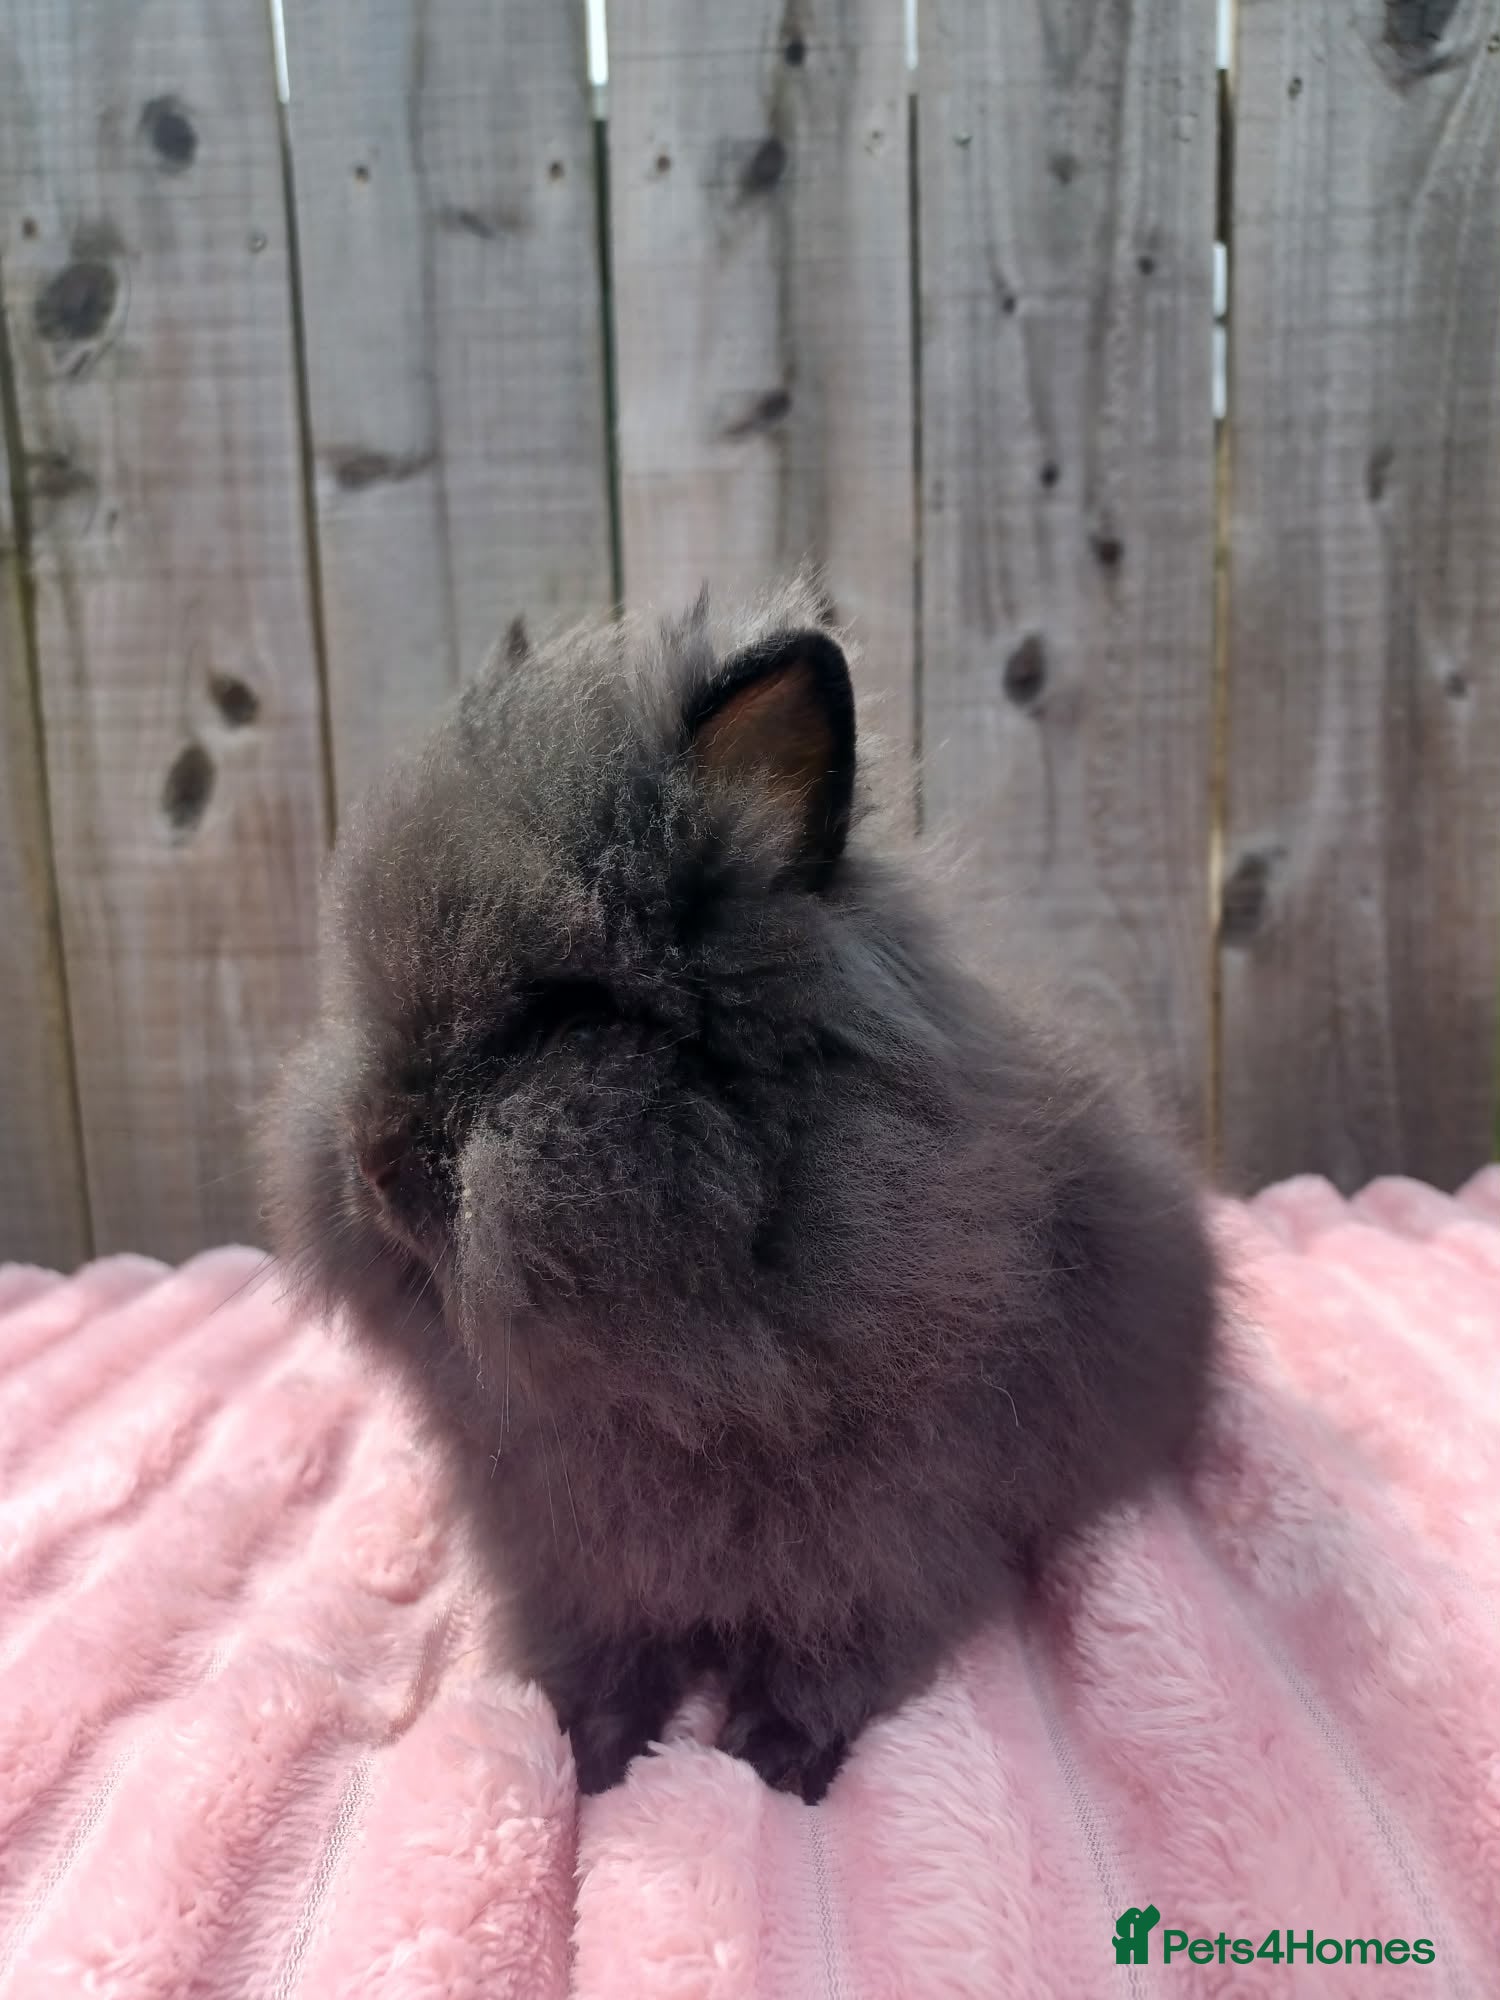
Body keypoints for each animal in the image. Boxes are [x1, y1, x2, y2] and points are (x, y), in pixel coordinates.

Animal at [261, 576, 1218, 1805]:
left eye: (566, 1020)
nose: (371, 1160)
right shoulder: (571, 1559)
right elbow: (606, 1657)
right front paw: (587, 1755)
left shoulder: (878, 1541)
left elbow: (822, 1660)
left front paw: (768, 1765)